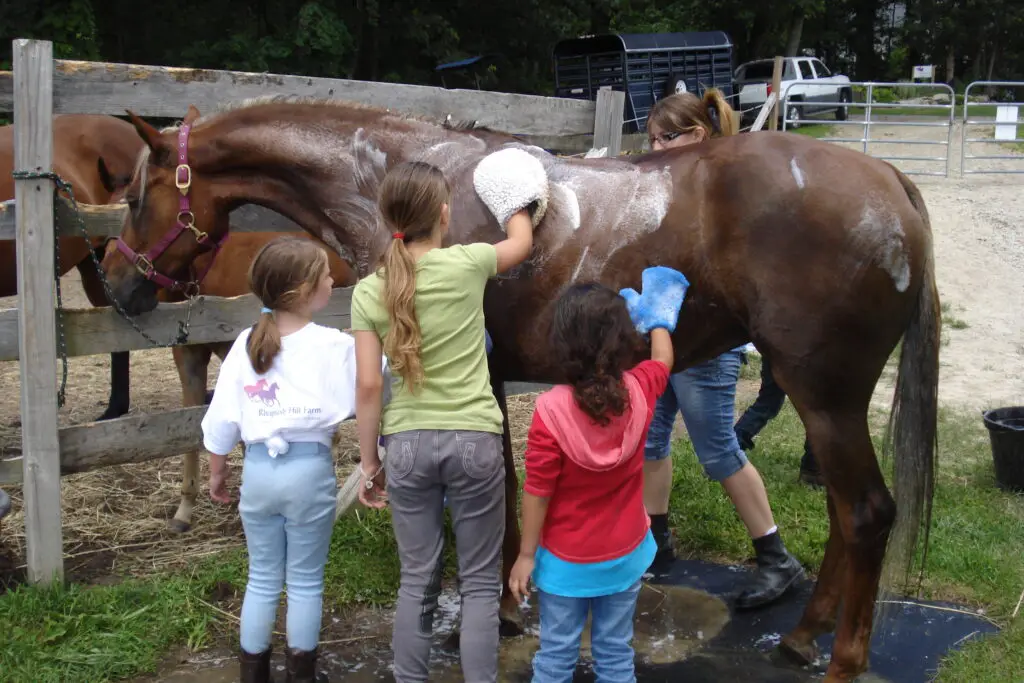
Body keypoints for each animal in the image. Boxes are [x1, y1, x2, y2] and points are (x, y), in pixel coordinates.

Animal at [96, 101, 937, 683]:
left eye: (136, 197)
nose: (117, 284)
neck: (397, 176)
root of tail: (890, 180)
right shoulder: (491, 380)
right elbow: (500, 494)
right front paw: (500, 604)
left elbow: (486, 496)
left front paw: (485, 611)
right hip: (822, 398)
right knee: (845, 515)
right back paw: (802, 635)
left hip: (824, 394)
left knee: (867, 513)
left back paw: (840, 659)